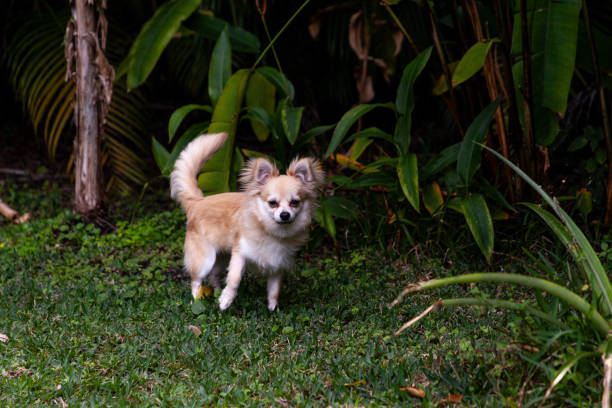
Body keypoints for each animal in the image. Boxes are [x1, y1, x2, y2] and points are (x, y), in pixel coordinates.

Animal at [171, 132, 326, 310]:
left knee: (214, 276)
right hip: (204, 260)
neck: (271, 231)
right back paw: (198, 300)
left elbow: (274, 291)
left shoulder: (277, 266)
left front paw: (273, 310)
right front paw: (226, 300)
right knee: (196, 281)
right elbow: (234, 279)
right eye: (273, 203)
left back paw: (217, 293)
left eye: (295, 202)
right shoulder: (240, 253)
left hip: (222, 257)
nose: (285, 215)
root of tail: (197, 201)